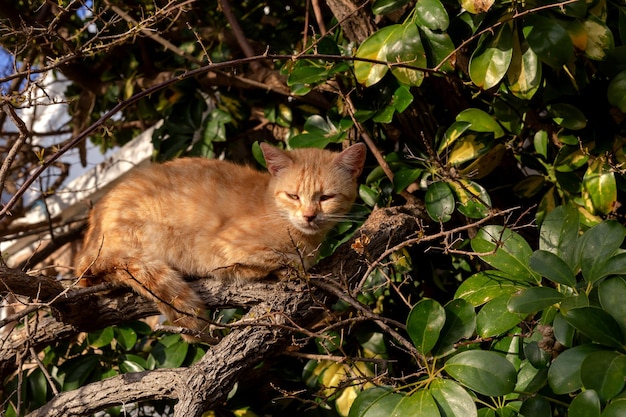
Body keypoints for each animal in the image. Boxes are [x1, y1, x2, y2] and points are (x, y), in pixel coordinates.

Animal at [75, 142, 364, 338]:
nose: (309, 215)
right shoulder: (221, 248)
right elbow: (282, 259)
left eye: (326, 197)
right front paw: (285, 268)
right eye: (293, 196)